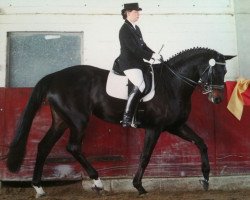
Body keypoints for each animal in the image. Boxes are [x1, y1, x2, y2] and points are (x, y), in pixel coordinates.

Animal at [7, 47, 234, 198]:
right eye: (214, 71)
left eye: (225, 72)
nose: (217, 99)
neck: (172, 84)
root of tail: (54, 77)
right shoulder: (155, 128)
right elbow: (145, 156)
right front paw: (139, 186)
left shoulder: (175, 126)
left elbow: (201, 143)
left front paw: (205, 178)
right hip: (78, 120)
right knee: (73, 147)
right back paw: (98, 183)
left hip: (61, 121)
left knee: (44, 146)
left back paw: (39, 188)